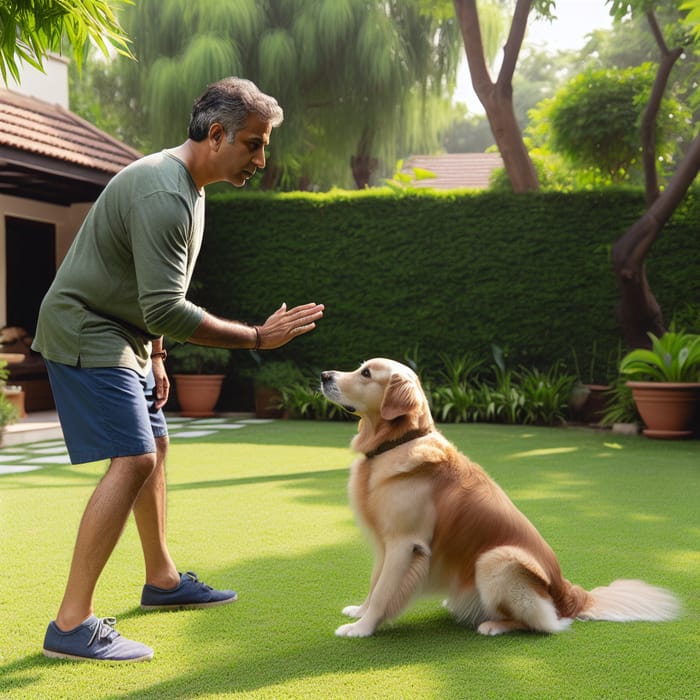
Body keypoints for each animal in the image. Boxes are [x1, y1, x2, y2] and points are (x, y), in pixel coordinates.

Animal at [320, 358, 680, 636]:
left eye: (366, 373)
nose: (324, 375)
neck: (398, 442)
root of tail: (570, 595)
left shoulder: (404, 543)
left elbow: (383, 591)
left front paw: (362, 629)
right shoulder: (385, 545)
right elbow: (375, 583)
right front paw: (360, 611)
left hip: (495, 560)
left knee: (548, 624)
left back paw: (494, 625)